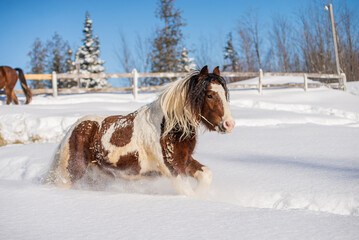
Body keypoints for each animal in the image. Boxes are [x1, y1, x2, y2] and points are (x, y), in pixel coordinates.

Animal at [45, 65, 236, 195]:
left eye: (224, 94)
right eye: (210, 95)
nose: (229, 124)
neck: (168, 128)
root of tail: (73, 129)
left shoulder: (185, 162)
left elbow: (206, 175)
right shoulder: (174, 170)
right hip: (71, 172)